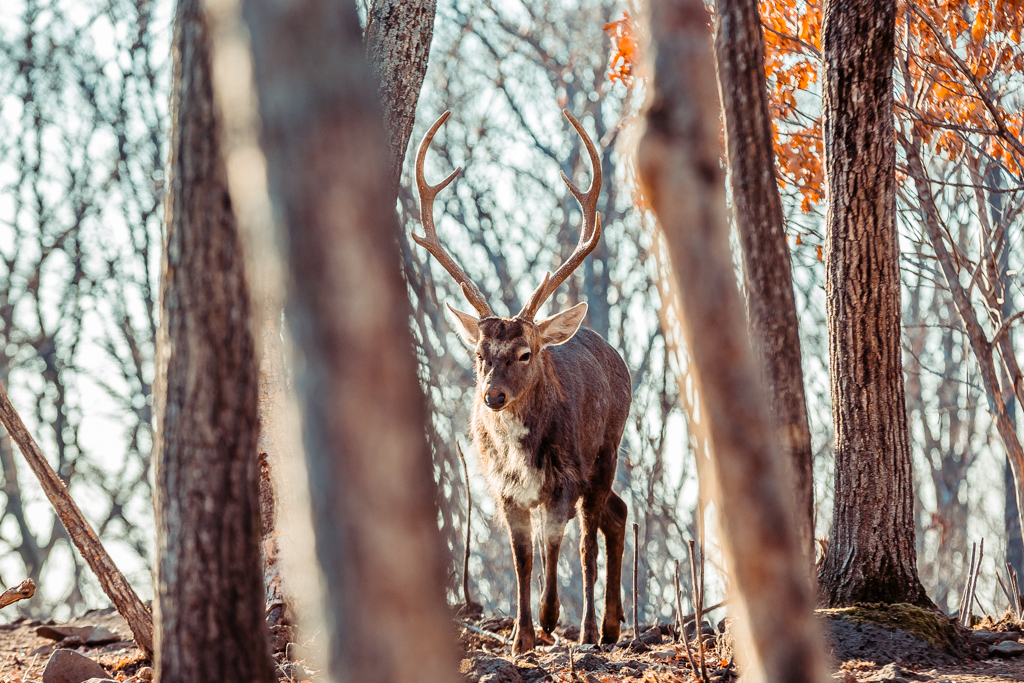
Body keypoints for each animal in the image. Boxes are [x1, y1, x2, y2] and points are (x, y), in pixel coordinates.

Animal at [411, 109, 626, 655]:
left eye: (525, 353)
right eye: (479, 354)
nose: (493, 396)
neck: (517, 451)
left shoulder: (563, 477)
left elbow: (554, 547)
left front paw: (550, 619)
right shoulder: (502, 488)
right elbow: (522, 557)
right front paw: (520, 638)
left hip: (606, 449)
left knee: (590, 538)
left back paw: (592, 628)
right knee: (617, 512)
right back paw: (611, 625)